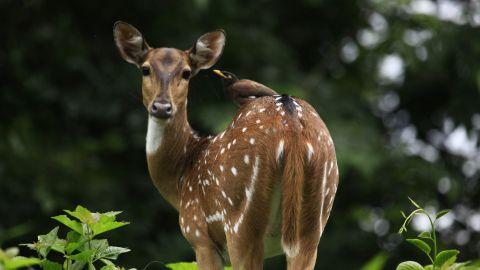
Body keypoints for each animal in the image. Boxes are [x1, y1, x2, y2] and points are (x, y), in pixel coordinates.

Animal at [113, 21, 340, 270]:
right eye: (145, 69)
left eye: (186, 73)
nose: (162, 107)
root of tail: (291, 126)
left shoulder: (198, 234)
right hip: (312, 225)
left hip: (240, 223)